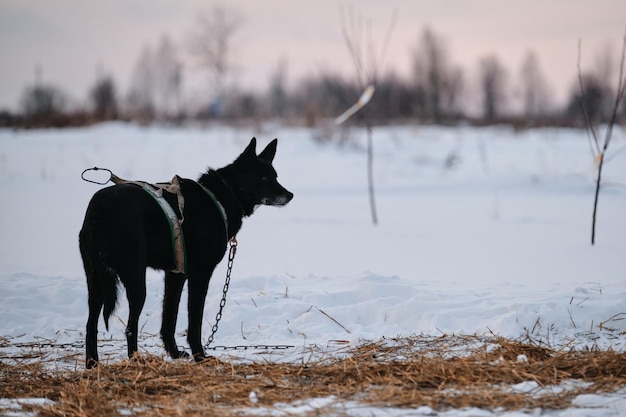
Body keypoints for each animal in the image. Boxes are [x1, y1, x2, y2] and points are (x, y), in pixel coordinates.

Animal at [79, 138, 292, 366]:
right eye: (263, 178)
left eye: (275, 176)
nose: (290, 195)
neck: (222, 196)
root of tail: (99, 210)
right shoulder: (200, 273)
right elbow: (194, 320)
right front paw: (200, 356)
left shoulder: (175, 275)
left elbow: (169, 317)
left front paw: (174, 352)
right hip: (135, 278)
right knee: (130, 326)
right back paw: (136, 360)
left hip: (96, 281)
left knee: (91, 325)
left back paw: (92, 364)